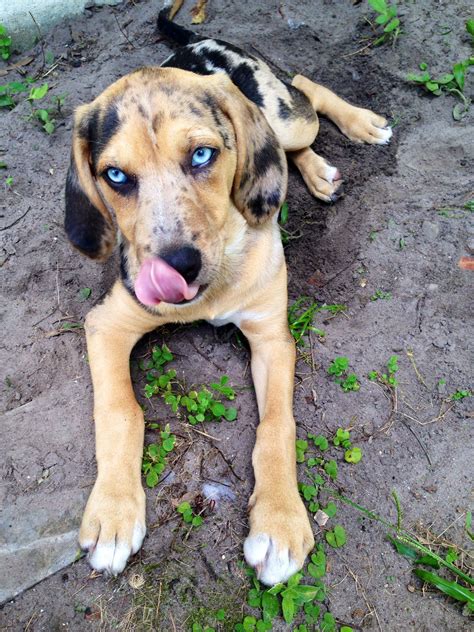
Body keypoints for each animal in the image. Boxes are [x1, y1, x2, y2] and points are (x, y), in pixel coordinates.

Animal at [65, 4, 392, 588]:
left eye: (202, 155)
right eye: (116, 175)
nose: (177, 268)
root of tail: (197, 42)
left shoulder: (272, 337)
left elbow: (277, 426)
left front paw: (280, 522)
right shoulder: (107, 324)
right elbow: (120, 410)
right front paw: (113, 513)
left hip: (282, 110)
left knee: (301, 97)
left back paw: (358, 127)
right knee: (286, 150)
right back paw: (315, 172)